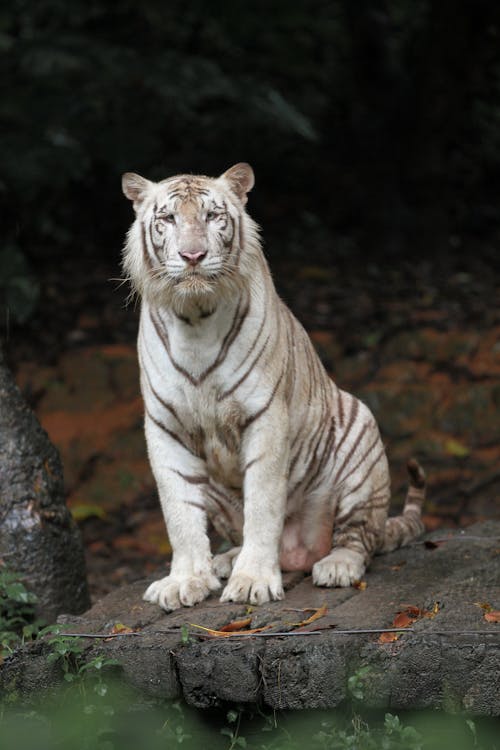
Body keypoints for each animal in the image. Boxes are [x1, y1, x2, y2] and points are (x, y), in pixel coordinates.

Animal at [122, 163, 426, 612]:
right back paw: (223, 561)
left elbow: (263, 505)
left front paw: (252, 582)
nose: (193, 256)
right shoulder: (166, 427)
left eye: (212, 216)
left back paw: (336, 565)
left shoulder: (264, 417)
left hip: (361, 434)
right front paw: (185, 580)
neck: (194, 319)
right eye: (169, 219)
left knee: (360, 538)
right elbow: (179, 514)